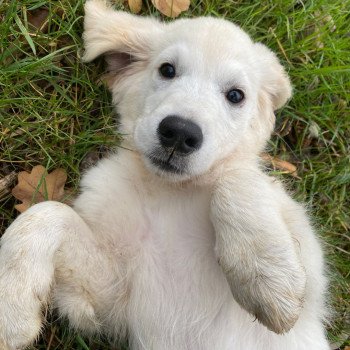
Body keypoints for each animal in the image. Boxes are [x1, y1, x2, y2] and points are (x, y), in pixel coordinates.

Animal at [0, 1, 330, 348]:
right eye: (167, 70)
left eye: (236, 95)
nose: (179, 133)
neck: (170, 189)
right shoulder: (112, 295)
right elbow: (47, 212)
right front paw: (12, 308)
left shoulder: (312, 272)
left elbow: (236, 174)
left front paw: (265, 274)